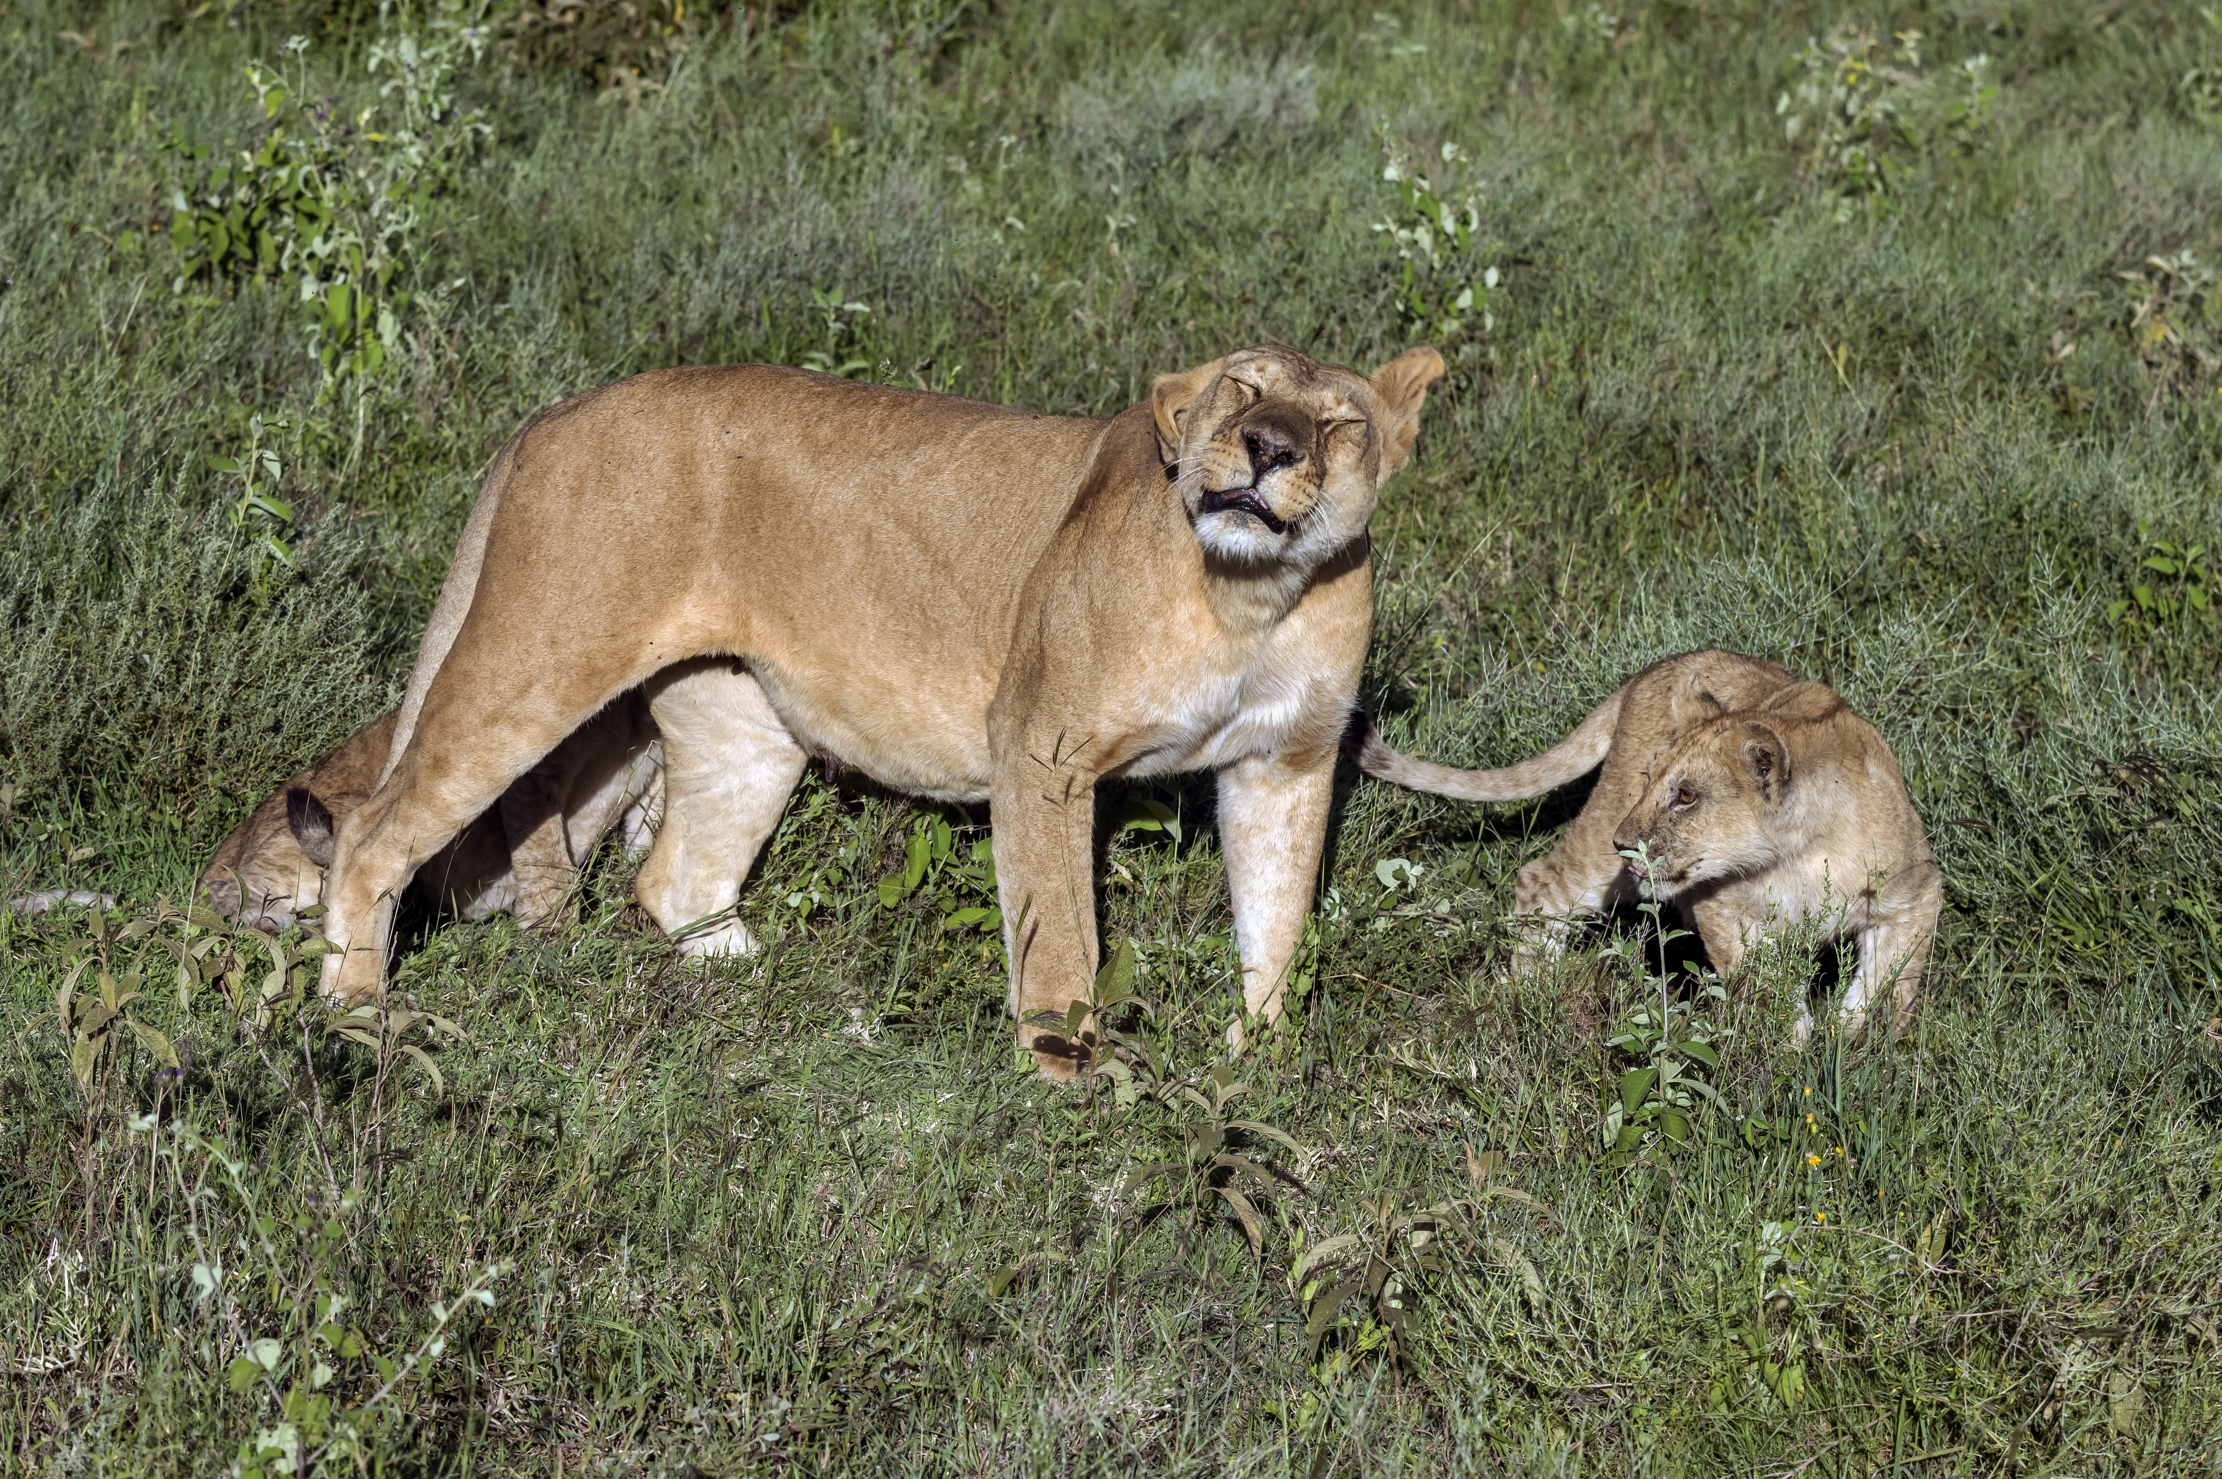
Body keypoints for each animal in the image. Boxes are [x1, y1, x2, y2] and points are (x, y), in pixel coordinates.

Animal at [315, 347, 1446, 1072]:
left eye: (1339, 423)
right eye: (1240, 391)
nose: (1267, 448)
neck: (1251, 598)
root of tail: (558, 412)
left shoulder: (1284, 765)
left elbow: (1276, 925)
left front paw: (1257, 1068)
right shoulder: (1042, 750)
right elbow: (1061, 941)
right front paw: (1072, 1092)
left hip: (745, 724)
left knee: (679, 879)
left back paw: (791, 1012)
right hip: (539, 659)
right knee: (373, 831)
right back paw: (358, 1019)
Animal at [1358, 651, 1940, 1038]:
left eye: (1685, 795)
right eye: (1651, 778)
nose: (1623, 842)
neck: (1799, 854)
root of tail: (1657, 666)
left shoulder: (1915, 894)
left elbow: (1886, 985)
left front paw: (1854, 1050)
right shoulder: (1718, 902)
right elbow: (1761, 986)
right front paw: (1788, 1053)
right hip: (1601, 857)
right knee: (1539, 881)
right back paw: (1532, 992)